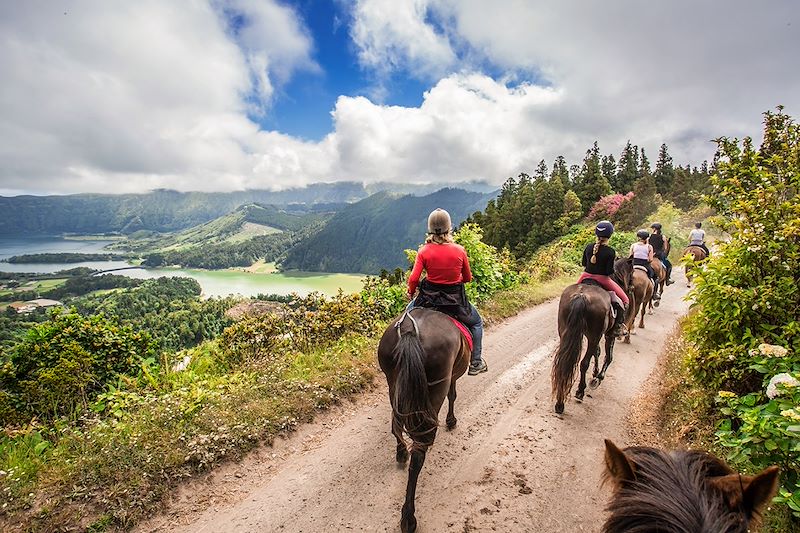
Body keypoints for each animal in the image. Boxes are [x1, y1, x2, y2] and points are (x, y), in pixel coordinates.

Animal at [378, 308, 472, 532]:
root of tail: (410, 330)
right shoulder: (450, 378)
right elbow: (453, 395)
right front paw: (451, 421)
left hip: (394, 383)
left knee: (396, 425)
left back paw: (401, 453)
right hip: (435, 387)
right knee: (419, 453)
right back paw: (408, 517)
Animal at [552, 256, 632, 414]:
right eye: (631, 272)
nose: (631, 286)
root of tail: (581, 296)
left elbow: (597, 352)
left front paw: (595, 373)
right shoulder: (607, 335)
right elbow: (608, 356)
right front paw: (598, 377)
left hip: (565, 331)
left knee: (564, 361)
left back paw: (559, 403)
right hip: (596, 335)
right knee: (584, 363)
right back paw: (580, 392)